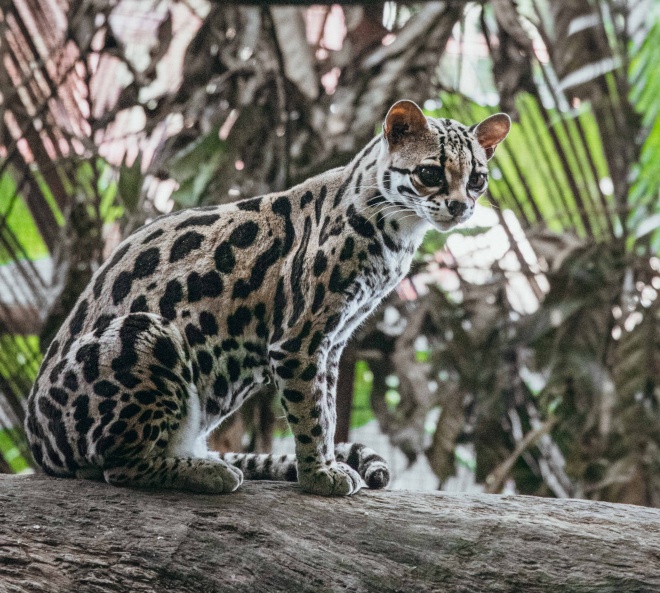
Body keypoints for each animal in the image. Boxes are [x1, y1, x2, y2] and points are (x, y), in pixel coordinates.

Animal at [25, 100, 510, 496]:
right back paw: (207, 473)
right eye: (430, 173)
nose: (460, 206)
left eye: (478, 179)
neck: (398, 232)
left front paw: (323, 466)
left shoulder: (332, 342)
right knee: (118, 467)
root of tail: (37, 446)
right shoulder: (300, 340)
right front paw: (318, 476)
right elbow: (311, 415)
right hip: (144, 332)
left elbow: (327, 409)